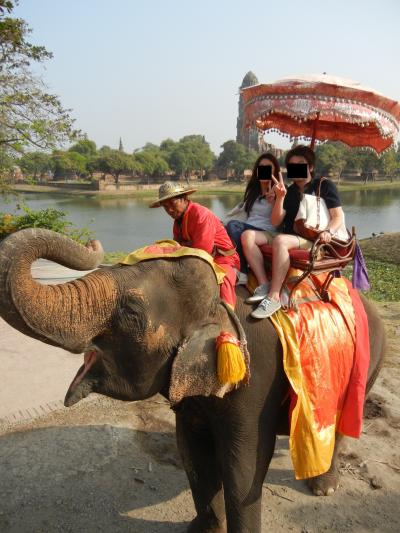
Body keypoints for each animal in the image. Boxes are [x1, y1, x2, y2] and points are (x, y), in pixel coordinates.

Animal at [0, 229, 386, 532]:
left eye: (131, 312)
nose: (94, 242)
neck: (220, 302)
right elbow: (192, 455)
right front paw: (202, 528)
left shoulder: (255, 382)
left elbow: (243, 469)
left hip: (367, 364)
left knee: (339, 425)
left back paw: (323, 488)